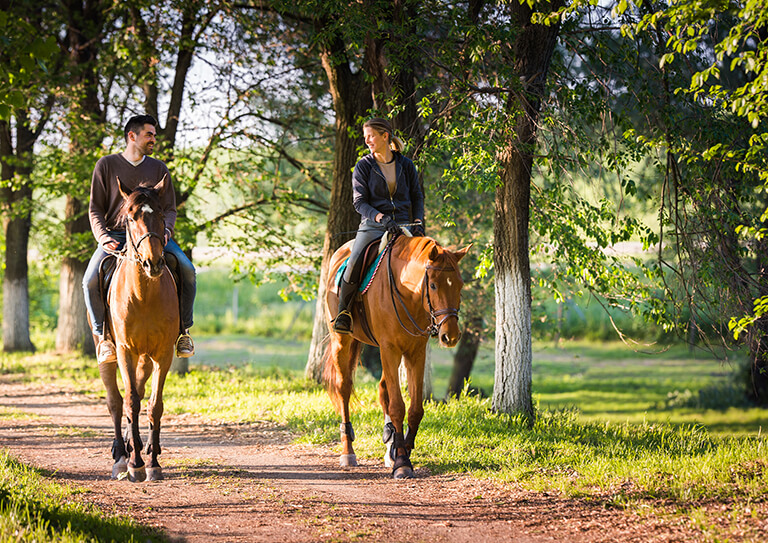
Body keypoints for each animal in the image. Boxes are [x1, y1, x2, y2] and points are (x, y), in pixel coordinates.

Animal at [97, 176, 178, 482]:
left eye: (161, 214)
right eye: (130, 218)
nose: (153, 263)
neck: (143, 295)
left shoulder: (163, 354)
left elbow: (154, 404)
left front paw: (153, 462)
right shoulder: (125, 351)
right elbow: (129, 401)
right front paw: (134, 464)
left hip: (145, 357)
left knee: (141, 393)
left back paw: (138, 445)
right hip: (108, 353)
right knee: (115, 401)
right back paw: (121, 454)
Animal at [324, 234, 468, 480]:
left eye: (459, 285)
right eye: (433, 285)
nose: (450, 336)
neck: (407, 293)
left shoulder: (415, 352)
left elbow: (415, 409)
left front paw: (402, 450)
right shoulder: (389, 349)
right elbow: (398, 407)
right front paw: (401, 462)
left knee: (383, 390)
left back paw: (389, 447)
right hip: (342, 341)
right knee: (344, 389)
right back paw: (348, 452)